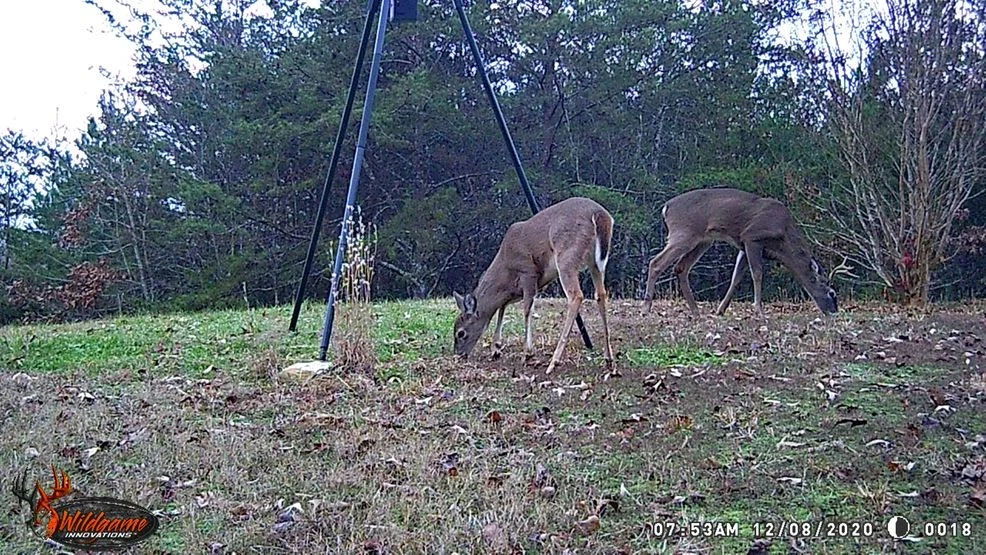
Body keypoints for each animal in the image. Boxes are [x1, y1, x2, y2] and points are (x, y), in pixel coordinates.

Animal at [453, 197, 614, 374]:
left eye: (460, 333)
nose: (458, 355)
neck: (505, 268)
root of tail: (599, 214)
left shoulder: (528, 272)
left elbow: (526, 310)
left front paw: (527, 353)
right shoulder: (524, 287)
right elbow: (503, 307)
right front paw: (496, 349)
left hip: (566, 256)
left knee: (576, 296)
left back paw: (553, 362)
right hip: (596, 263)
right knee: (601, 294)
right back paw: (609, 360)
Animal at [642, 188, 838, 315]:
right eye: (832, 293)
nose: (834, 313)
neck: (783, 236)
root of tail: (666, 208)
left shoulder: (743, 247)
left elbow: (736, 278)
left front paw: (720, 310)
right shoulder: (753, 237)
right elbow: (757, 273)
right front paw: (758, 310)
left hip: (703, 240)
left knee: (681, 268)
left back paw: (695, 310)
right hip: (684, 232)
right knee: (656, 262)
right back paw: (646, 308)